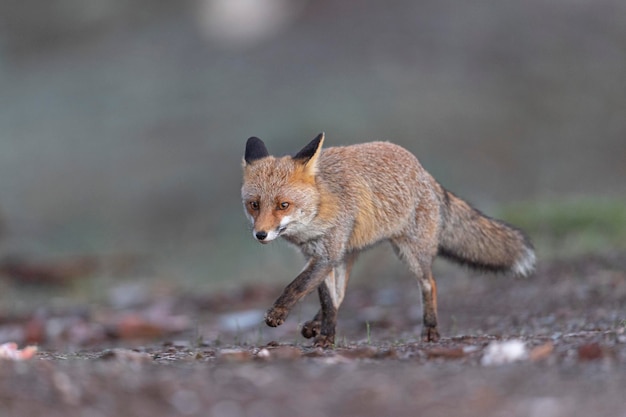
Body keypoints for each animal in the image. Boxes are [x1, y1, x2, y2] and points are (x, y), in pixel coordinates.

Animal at [239, 134, 532, 348]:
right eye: (254, 205)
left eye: (283, 205)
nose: (261, 234)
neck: (321, 206)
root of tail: (425, 173)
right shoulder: (318, 255)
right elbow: (326, 300)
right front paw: (326, 335)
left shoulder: (326, 254)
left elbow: (297, 286)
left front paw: (282, 315)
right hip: (348, 255)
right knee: (341, 294)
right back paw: (315, 324)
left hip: (410, 253)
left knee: (430, 283)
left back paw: (430, 330)